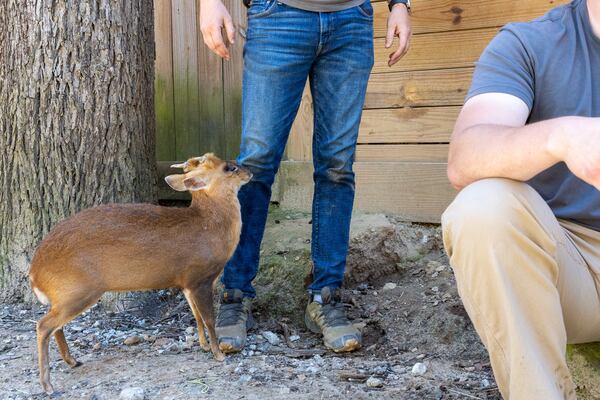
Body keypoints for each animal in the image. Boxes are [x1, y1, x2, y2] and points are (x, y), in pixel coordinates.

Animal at [28, 153, 251, 394]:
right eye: (229, 167)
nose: (250, 172)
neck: (209, 227)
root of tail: (35, 273)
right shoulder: (200, 277)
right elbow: (209, 318)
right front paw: (218, 354)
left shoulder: (186, 283)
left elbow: (196, 316)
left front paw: (203, 346)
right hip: (78, 291)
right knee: (44, 325)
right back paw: (47, 384)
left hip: (67, 295)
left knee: (55, 326)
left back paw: (72, 361)